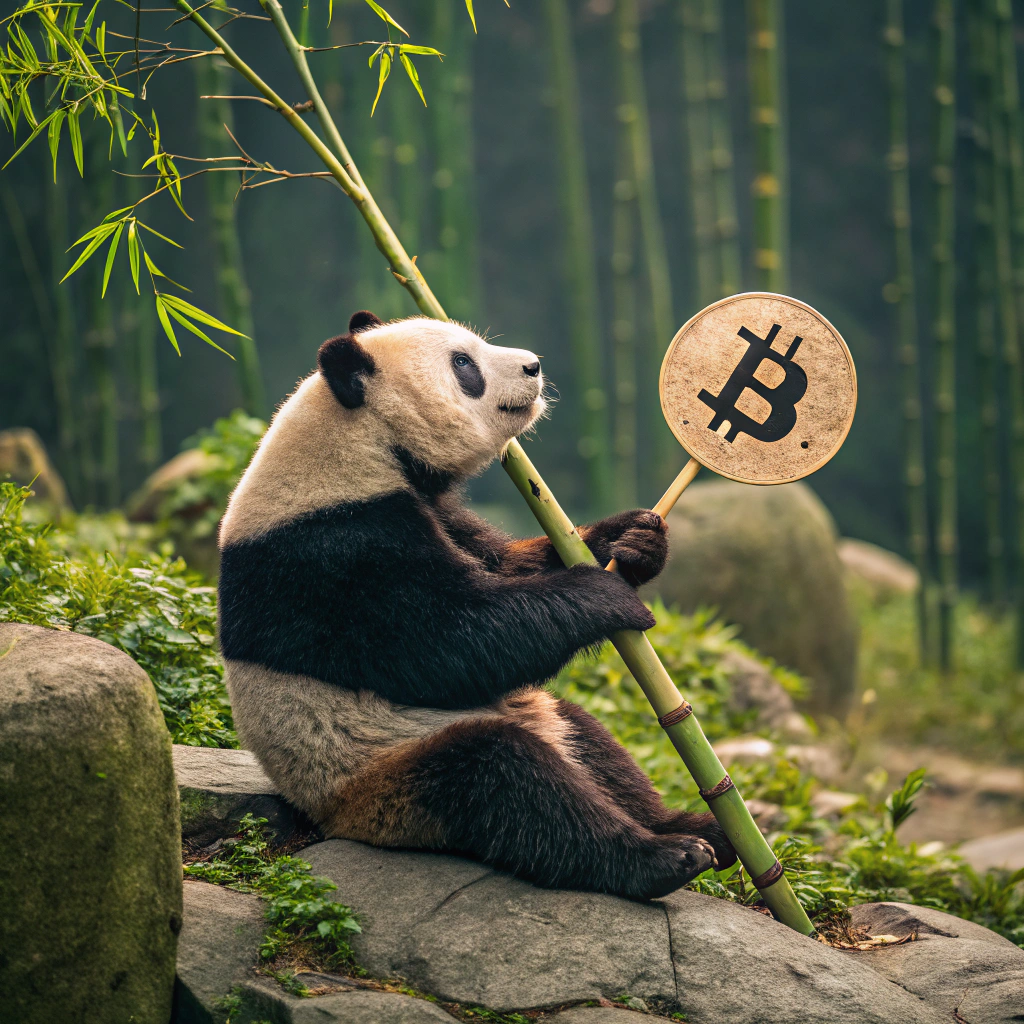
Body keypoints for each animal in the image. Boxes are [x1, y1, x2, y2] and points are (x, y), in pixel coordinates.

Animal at [218, 311, 735, 900]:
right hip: (385, 777)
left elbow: (505, 567)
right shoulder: (331, 553)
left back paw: (701, 828)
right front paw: (603, 594)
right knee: (507, 781)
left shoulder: (431, 508)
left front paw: (630, 541)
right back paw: (662, 857)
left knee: (592, 743)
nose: (534, 365)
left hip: (531, 715)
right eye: (464, 364)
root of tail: (328, 820)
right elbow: (444, 644)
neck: (358, 441)